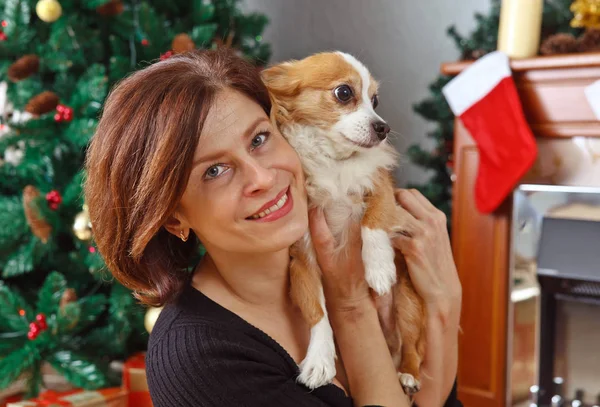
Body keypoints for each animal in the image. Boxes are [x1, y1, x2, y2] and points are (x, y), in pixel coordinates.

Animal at [262, 51, 426, 396]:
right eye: (344, 93)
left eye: (375, 100)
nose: (383, 127)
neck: (332, 162)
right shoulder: (303, 259)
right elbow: (317, 313)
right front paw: (319, 361)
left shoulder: (382, 187)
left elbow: (373, 221)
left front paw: (379, 268)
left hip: (408, 305)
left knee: (414, 348)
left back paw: (408, 374)